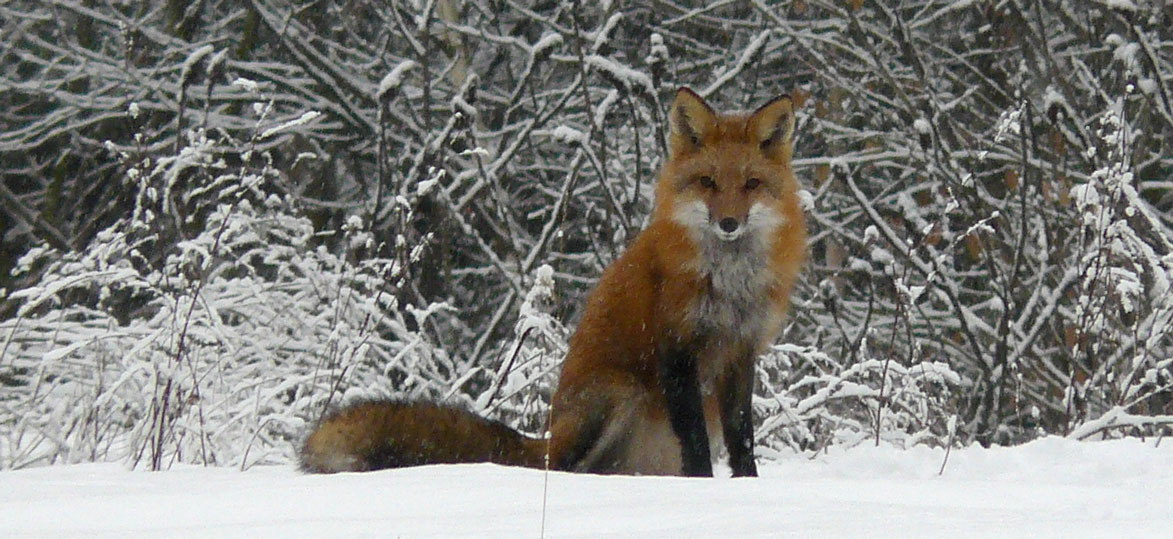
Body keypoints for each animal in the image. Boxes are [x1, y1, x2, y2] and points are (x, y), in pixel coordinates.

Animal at [300, 87, 807, 475]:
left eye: (751, 184)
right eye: (707, 182)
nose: (728, 223)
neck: (729, 281)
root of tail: (547, 434)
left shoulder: (740, 352)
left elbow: (742, 438)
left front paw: (746, 488)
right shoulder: (676, 348)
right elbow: (697, 442)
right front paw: (704, 488)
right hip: (618, 395)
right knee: (561, 469)